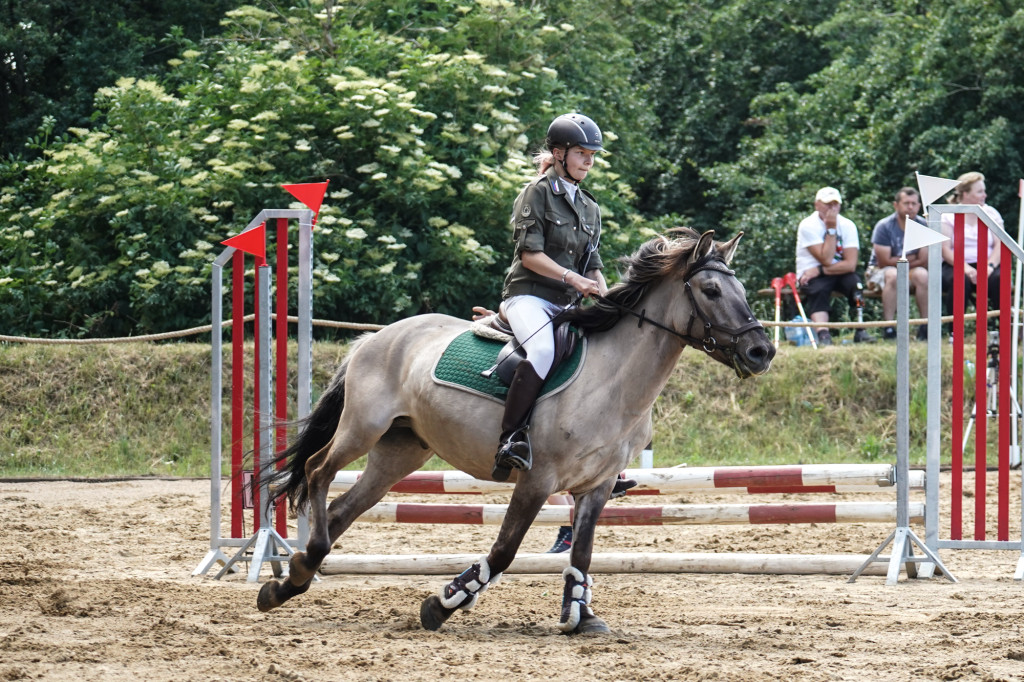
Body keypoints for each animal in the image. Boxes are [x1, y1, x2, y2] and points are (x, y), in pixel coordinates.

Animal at [258, 227, 774, 630]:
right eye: (711, 291)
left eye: (743, 291)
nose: (761, 352)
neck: (612, 378)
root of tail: (376, 336)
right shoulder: (537, 479)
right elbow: (505, 550)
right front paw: (444, 603)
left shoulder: (598, 485)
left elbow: (582, 554)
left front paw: (580, 616)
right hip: (363, 428)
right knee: (317, 470)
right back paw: (303, 563)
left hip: (401, 450)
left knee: (344, 506)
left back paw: (292, 578)